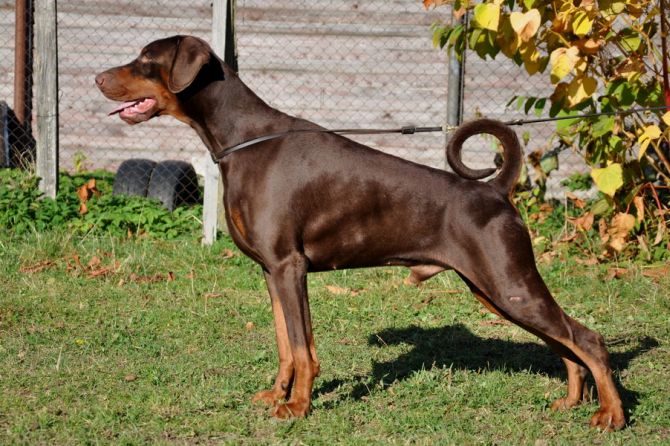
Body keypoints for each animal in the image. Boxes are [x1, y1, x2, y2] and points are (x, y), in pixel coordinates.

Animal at [96, 35, 625, 430]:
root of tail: (495, 190)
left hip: (509, 284)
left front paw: (298, 407)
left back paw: (611, 415)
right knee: (566, 343)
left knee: (589, 339)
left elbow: (304, 348)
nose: (96, 77)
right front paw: (277, 395)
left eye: (146, 60)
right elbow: (285, 344)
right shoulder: (272, 272)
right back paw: (572, 401)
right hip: (494, 290)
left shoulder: (290, 267)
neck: (242, 140)